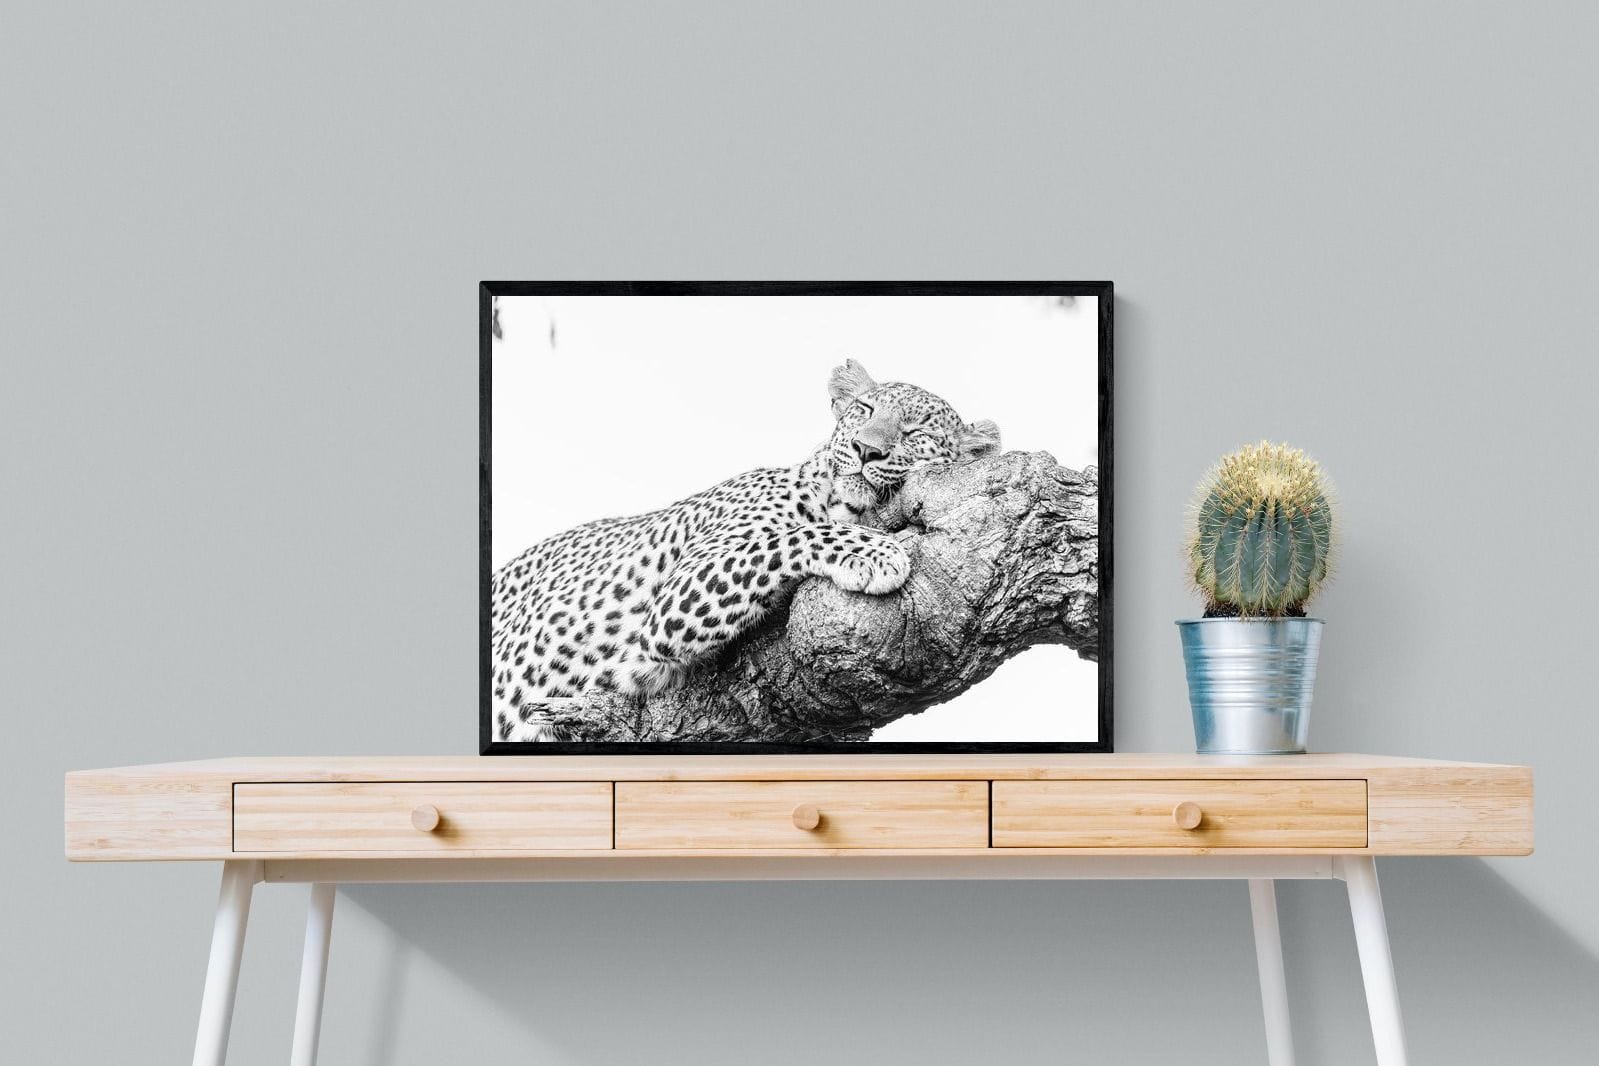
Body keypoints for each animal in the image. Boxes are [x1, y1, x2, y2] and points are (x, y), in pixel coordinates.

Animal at [489, 358, 1001, 742]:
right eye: (864, 408)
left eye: (916, 433)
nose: (865, 449)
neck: (837, 499)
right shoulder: (676, 597)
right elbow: (787, 538)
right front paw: (877, 552)